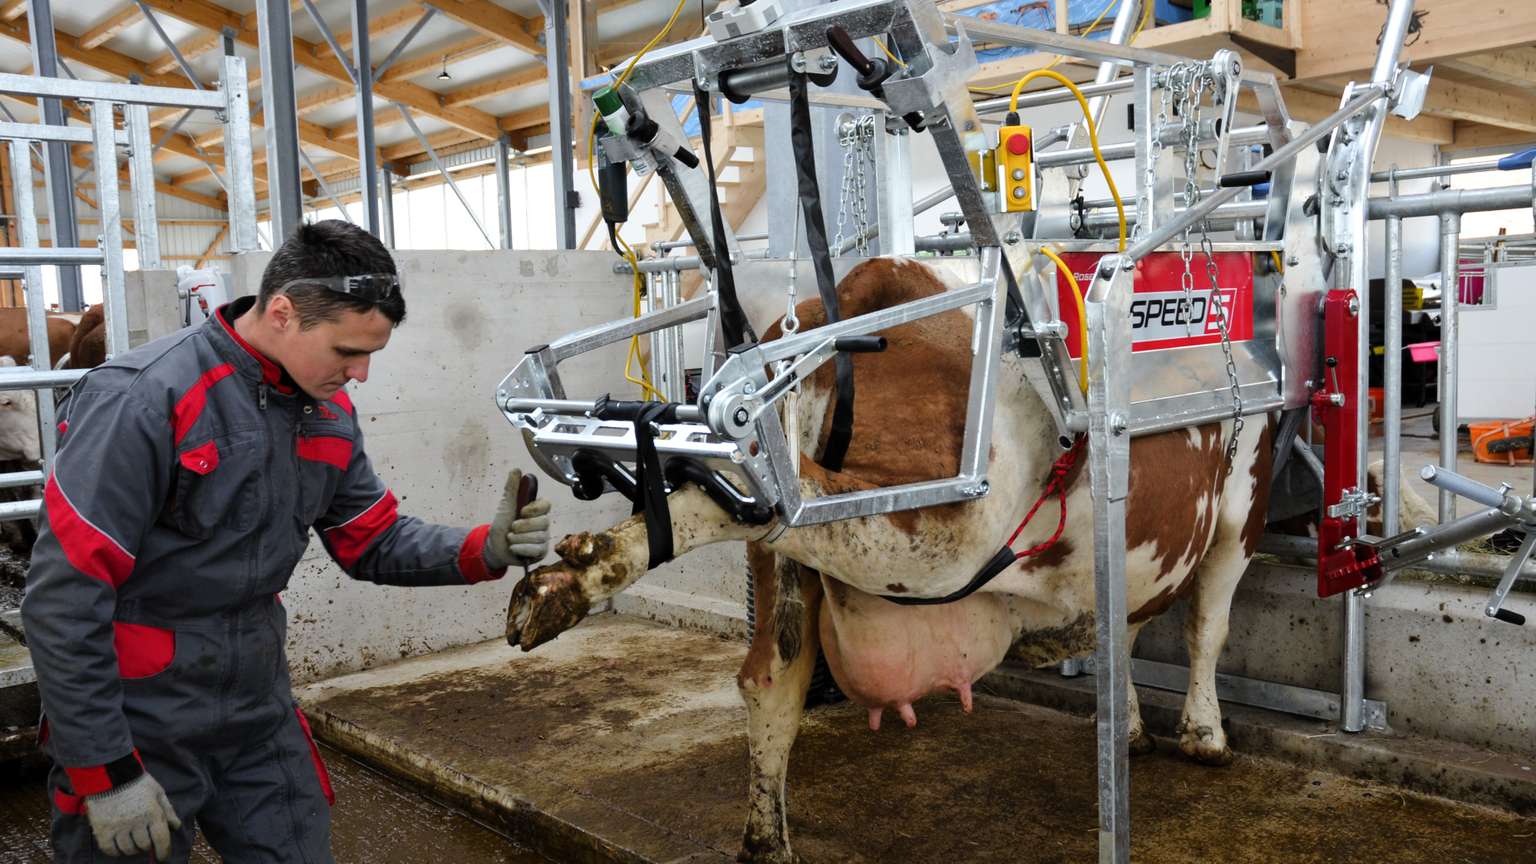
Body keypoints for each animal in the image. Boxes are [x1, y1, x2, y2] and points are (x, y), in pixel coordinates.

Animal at [504, 258, 1277, 863]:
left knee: (769, 677)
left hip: (798, 570)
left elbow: (1130, 632)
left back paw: (765, 841)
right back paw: (576, 574)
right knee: (775, 494)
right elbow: (1206, 628)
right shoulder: (1242, 506)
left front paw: (1135, 728)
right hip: (944, 529)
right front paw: (1204, 736)